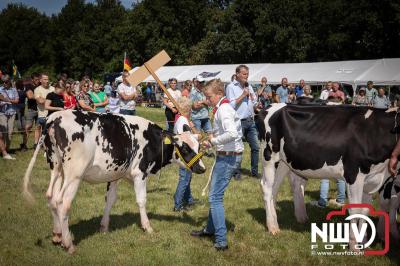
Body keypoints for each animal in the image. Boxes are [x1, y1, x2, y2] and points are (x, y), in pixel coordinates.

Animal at [22, 110, 206, 254]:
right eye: (185, 148)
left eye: (198, 147)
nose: (202, 168)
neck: (152, 140)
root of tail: (54, 117)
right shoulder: (140, 173)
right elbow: (141, 200)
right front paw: (147, 227)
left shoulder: (115, 176)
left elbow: (110, 200)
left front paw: (104, 227)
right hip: (74, 174)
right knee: (62, 203)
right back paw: (68, 244)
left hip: (57, 167)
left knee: (51, 197)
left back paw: (57, 235)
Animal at [258, 104, 398, 245]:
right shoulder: (353, 174)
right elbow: (355, 210)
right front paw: (353, 245)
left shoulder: (372, 180)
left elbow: (365, 210)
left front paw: (363, 241)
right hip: (269, 157)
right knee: (266, 188)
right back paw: (272, 227)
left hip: (283, 163)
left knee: (276, 188)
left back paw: (283, 221)